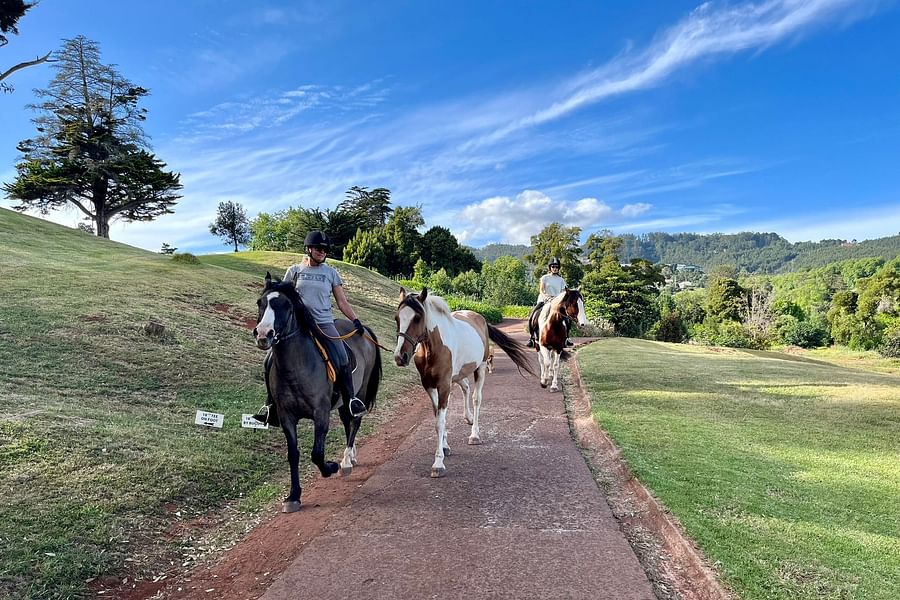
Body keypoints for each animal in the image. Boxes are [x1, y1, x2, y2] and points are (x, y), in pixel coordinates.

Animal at [253, 272, 382, 512]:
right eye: (260, 303)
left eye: (286, 305)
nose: (264, 334)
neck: (297, 367)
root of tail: (362, 330)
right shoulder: (286, 416)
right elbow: (293, 454)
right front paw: (293, 496)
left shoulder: (320, 413)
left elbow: (317, 453)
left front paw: (330, 467)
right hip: (342, 401)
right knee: (347, 422)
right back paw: (351, 456)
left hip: (358, 391)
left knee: (355, 421)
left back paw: (346, 462)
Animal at [393, 287, 535, 478]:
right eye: (397, 318)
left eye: (417, 318)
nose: (400, 357)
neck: (434, 348)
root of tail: (480, 318)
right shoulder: (429, 386)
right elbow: (438, 417)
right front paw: (445, 447)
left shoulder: (444, 385)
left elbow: (440, 422)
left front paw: (438, 463)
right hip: (459, 374)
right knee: (466, 387)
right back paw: (468, 418)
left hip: (480, 368)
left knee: (476, 398)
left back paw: (474, 434)